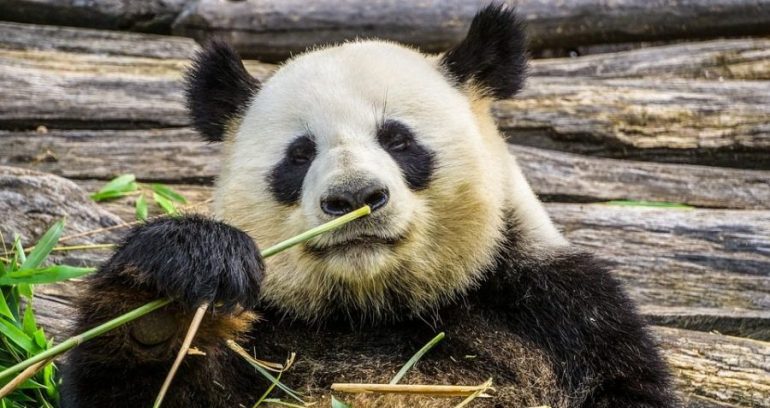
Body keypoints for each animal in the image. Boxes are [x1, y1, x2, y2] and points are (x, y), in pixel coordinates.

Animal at [61, 5, 675, 408]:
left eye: (398, 140)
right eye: (299, 154)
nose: (354, 197)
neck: (373, 309)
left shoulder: (558, 312)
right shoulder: (268, 338)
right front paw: (171, 296)